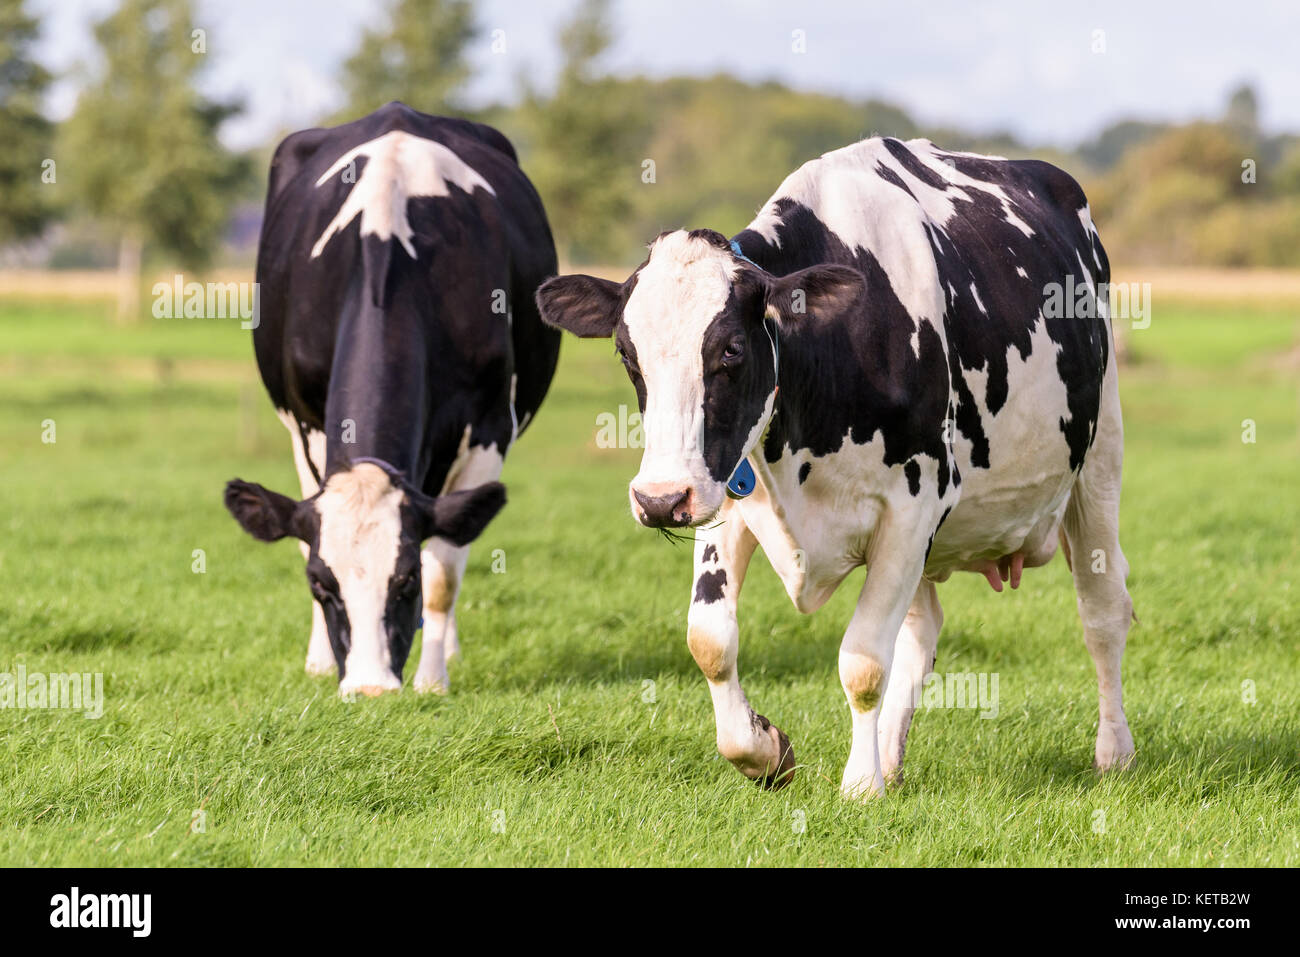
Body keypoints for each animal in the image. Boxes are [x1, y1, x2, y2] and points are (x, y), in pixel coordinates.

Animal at [533, 136, 1133, 800]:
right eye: (625, 353)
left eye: (732, 349)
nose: (659, 499)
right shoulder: (724, 491)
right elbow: (709, 639)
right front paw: (765, 752)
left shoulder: (913, 504)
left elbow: (863, 660)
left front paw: (861, 784)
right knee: (922, 631)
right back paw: (892, 756)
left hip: (1100, 455)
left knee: (1103, 609)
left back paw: (1113, 752)